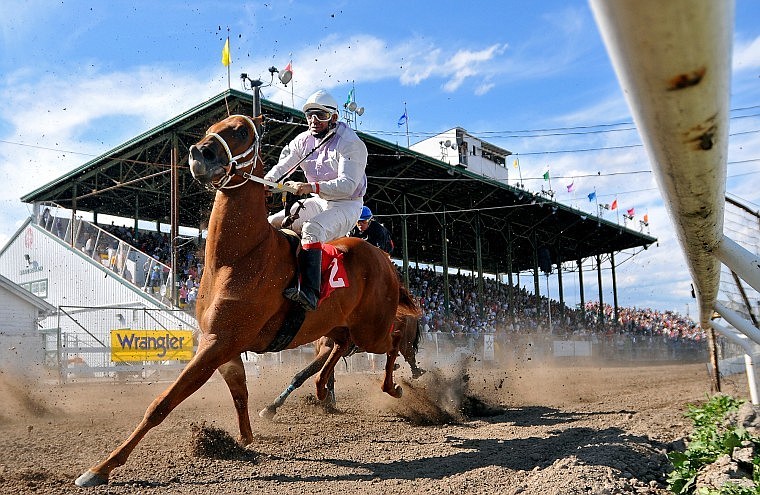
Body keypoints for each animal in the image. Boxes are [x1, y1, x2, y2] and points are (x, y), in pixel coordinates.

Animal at [258, 318, 424, 418]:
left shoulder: (328, 349)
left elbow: (301, 375)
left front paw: (271, 407)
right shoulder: (321, 350)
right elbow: (328, 377)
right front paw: (329, 402)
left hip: (405, 342)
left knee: (410, 358)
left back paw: (413, 373)